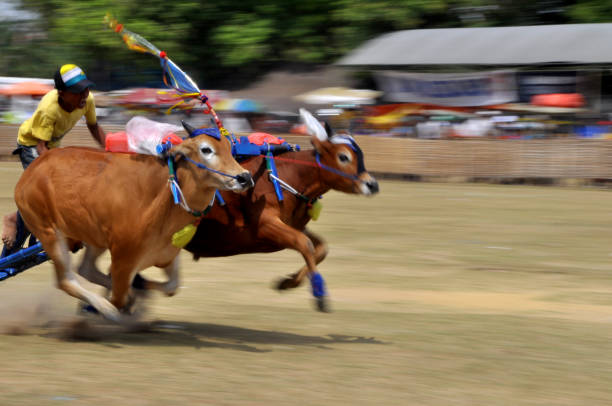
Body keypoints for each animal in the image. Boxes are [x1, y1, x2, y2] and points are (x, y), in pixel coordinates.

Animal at [14, 125, 253, 322]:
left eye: (230, 148)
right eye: (206, 149)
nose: (244, 177)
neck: (164, 198)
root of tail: (32, 171)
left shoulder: (167, 253)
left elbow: (171, 286)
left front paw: (139, 288)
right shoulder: (123, 257)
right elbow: (118, 297)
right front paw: (116, 303)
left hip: (94, 236)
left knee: (86, 269)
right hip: (49, 232)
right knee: (67, 281)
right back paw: (104, 307)